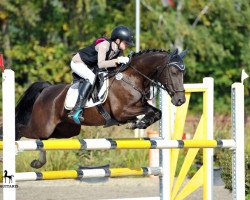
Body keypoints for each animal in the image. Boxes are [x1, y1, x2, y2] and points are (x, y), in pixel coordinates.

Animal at [15, 48, 188, 169]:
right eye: (173, 72)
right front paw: (138, 123)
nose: (180, 100)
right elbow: (149, 112)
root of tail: (46, 89)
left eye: (183, 73)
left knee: (42, 139)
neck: (132, 78)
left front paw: (140, 123)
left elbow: (157, 112)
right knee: (24, 130)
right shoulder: (121, 112)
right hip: (43, 125)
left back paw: (38, 162)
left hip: (65, 130)